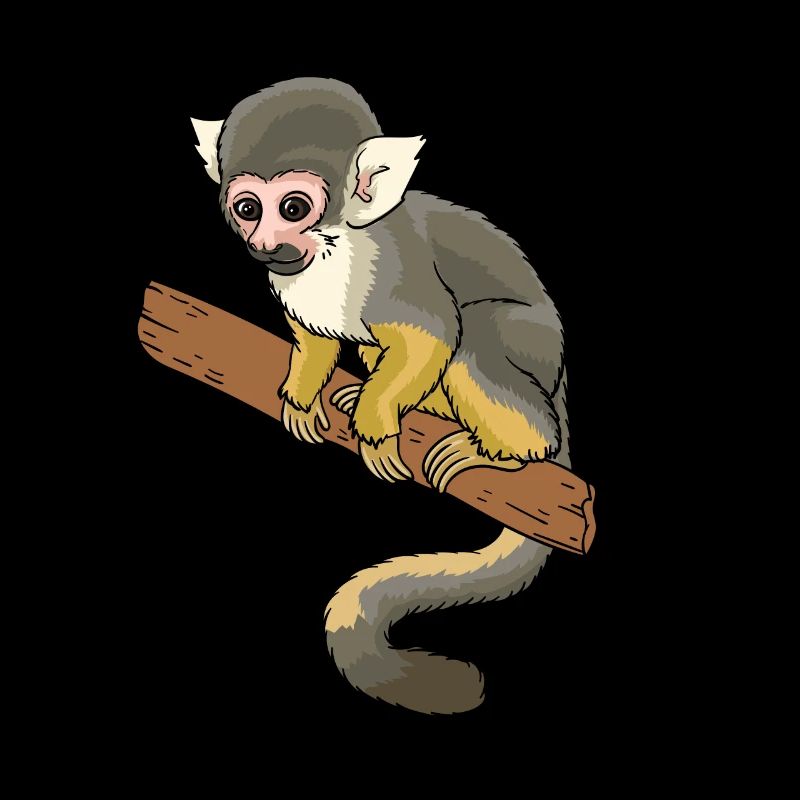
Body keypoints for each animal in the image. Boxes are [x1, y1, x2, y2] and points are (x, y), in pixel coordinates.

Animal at [191, 78, 569, 714]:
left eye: (292, 208)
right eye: (247, 208)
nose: (265, 244)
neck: (334, 246)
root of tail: (562, 384)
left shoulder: (391, 266)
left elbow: (434, 330)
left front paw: (375, 427)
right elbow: (315, 335)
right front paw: (304, 396)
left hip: (535, 354)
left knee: (476, 338)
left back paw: (507, 452)